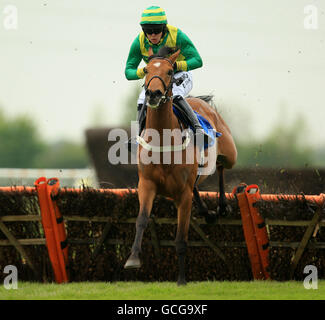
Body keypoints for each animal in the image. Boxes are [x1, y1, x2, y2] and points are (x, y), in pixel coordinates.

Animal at [123, 45, 235, 284]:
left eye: (168, 71)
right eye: (146, 70)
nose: (153, 94)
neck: (163, 141)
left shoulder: (182, 195)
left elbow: (181, 237)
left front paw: (182, 279)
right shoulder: (146, 185)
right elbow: (142, 219)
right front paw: (133, 258)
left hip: (231, 153)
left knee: (221, 166)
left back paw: (222, 206)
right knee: (198, 185)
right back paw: (209, 213)